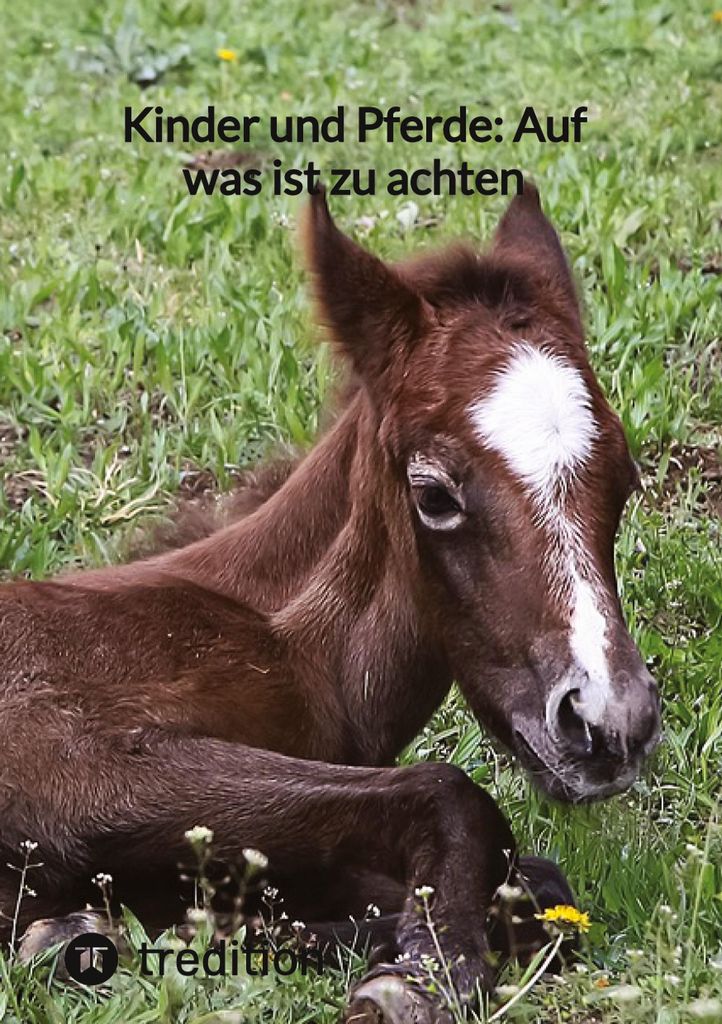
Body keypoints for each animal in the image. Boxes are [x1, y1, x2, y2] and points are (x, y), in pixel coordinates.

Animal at [0, 182, 660, 1023]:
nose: (611, 722)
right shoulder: (65, 764)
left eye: (625, 478)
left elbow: (538, 885)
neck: (274, 639)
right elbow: (449, 792)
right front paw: (422, 976)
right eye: (434, 495)